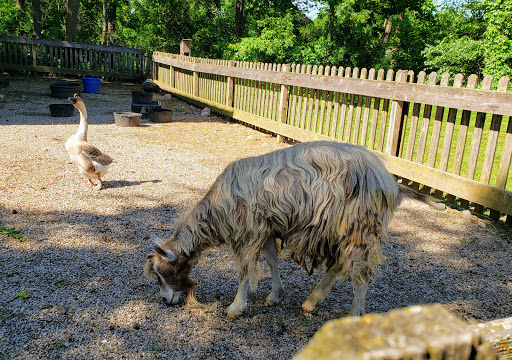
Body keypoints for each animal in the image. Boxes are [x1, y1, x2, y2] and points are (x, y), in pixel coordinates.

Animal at [144, 141, 444, 318]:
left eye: (164, 273)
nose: (165, 300)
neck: (219, 205)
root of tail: (389, 180)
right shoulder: (265, 229)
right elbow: (272, 262)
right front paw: (275, 295)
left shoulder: (249, 233)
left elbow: (245, 271)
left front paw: (236, 307)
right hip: (337, 230)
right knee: (338, 265)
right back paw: (311, 302)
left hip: (359, 227)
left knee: (360, 273)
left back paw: (353, 316)